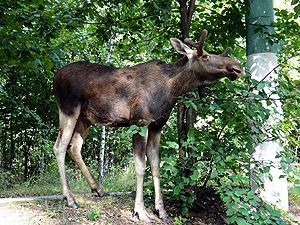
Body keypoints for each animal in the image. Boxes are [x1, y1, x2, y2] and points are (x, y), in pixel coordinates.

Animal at [52, 30, 243, 223]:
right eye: (205, 55)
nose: (237, 67)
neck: (172, 90)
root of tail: (55, 76)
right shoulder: (139, 123)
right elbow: (141, 166)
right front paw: (141, 211)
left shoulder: (157, 126)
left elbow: (156, 166)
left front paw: (162, 210)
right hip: (68, 109)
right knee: (60, 146)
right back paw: (70, 198)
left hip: (85, 118)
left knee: (74, 147)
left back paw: (97, 188)